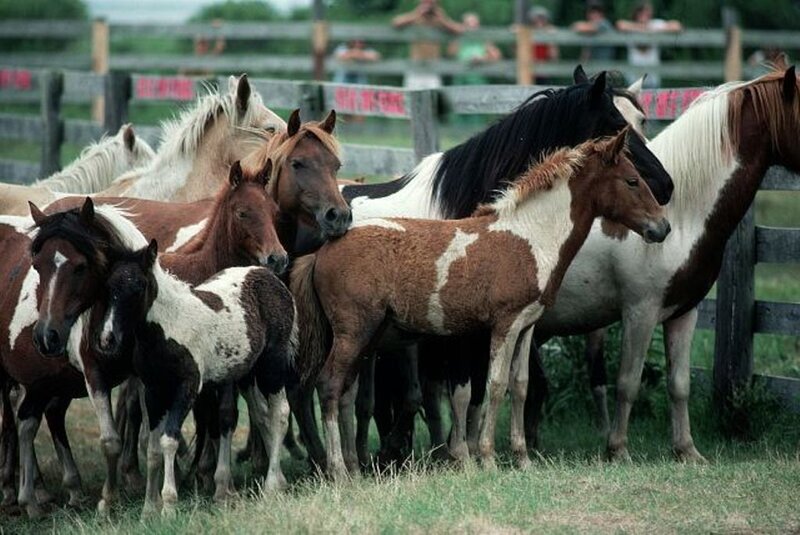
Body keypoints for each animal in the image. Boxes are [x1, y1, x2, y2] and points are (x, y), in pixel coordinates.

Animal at [293, 67, 675, 471]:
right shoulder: (469, 328)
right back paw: (333, 462)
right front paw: (468, 455)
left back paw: (351, 459)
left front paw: (493, 453)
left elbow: (506, 387)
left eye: (643, 120)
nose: (665, 191)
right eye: (616, 123)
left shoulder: (508, 326)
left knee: (344, 393)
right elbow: (471, 389)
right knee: (319, 389)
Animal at [522, 65, 800, 462]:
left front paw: (687, 450)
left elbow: (679, 383)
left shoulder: (684, 312)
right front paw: (618, 450)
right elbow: (627, 382)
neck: (680, 215)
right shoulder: (640, 311)